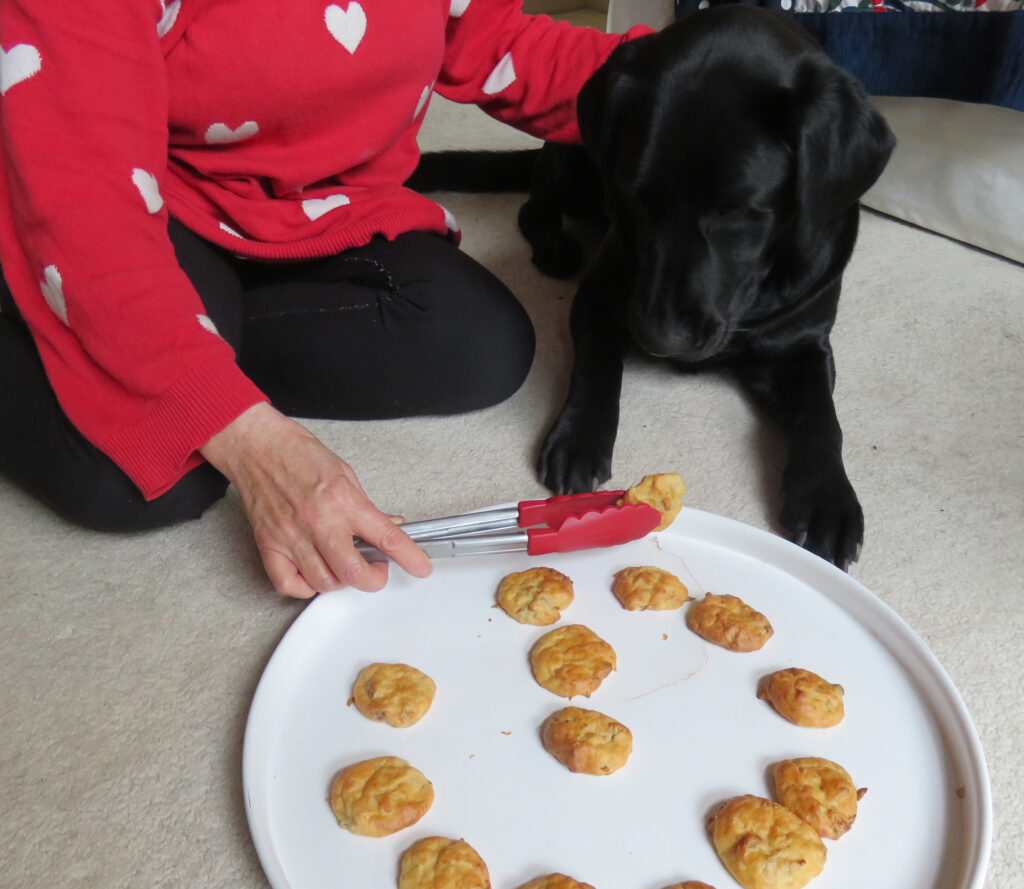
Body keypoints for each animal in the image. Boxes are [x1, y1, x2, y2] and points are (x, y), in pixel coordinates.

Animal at [407, 3, 888, 565]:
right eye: (636, 196)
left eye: (741, 212)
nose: (661, 338)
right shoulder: (599, 298)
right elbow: (596, 369)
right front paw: (579, 441)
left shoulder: (804, 343)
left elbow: (822, 418)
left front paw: (827, 500)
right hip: (574, 165)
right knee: (533, 207)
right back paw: (554, 247)